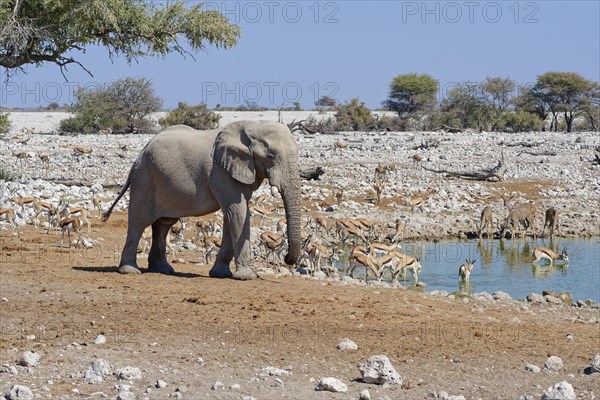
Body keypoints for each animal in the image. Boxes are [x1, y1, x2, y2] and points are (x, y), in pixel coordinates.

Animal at [101, 120, 304, 280]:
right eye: (270, 156)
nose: (287, 258)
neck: (252, 126)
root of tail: (139, 155)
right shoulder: (220, 172)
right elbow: (238, 212)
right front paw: (247, 276)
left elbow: (232, 215)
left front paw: (221, 274)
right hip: (144, 179)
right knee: (139, 221)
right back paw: (129, 271)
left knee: (163, 224)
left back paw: (162, 270)